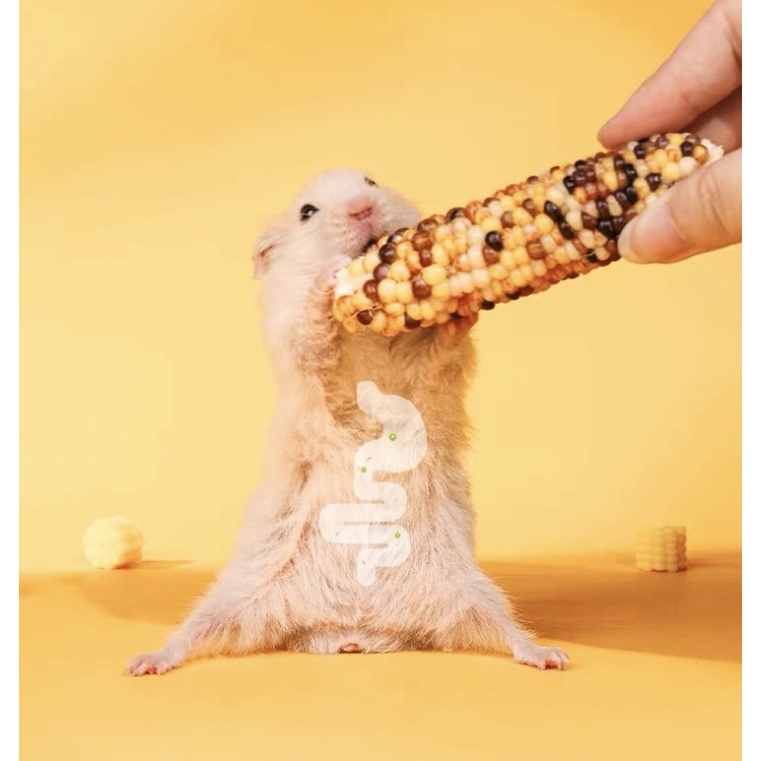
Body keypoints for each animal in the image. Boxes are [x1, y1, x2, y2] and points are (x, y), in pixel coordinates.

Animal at [126, 169, 569, 675]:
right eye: (307, 211)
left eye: (370, 181)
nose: (362, 208)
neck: (369, 329)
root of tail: (350, 629)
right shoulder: (305, 357)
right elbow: (315, 337)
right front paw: (330, 278)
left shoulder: (428, 384)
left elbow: (441, 355)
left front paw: (461, 307)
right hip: (233, 597)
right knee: (191, 636)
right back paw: (144, 663)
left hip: (472, 593)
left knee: (507, 633)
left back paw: (549, 656)